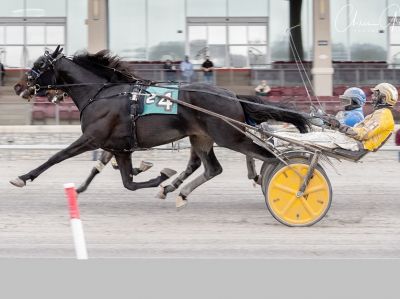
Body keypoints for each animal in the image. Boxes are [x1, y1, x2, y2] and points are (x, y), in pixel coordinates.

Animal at [11, 47, 310, 209]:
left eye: (39, 64)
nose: (17, 86)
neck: (101, 93)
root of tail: (231, 94)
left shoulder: (92, 138)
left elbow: (57, 156)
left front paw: (23, 177)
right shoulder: (119, 146)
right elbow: (127, 180)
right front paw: (159, 177)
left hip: (229, 136)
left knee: (270, 156)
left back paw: (290, 181)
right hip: (202, 137)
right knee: (213, 168)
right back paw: (180, 192)